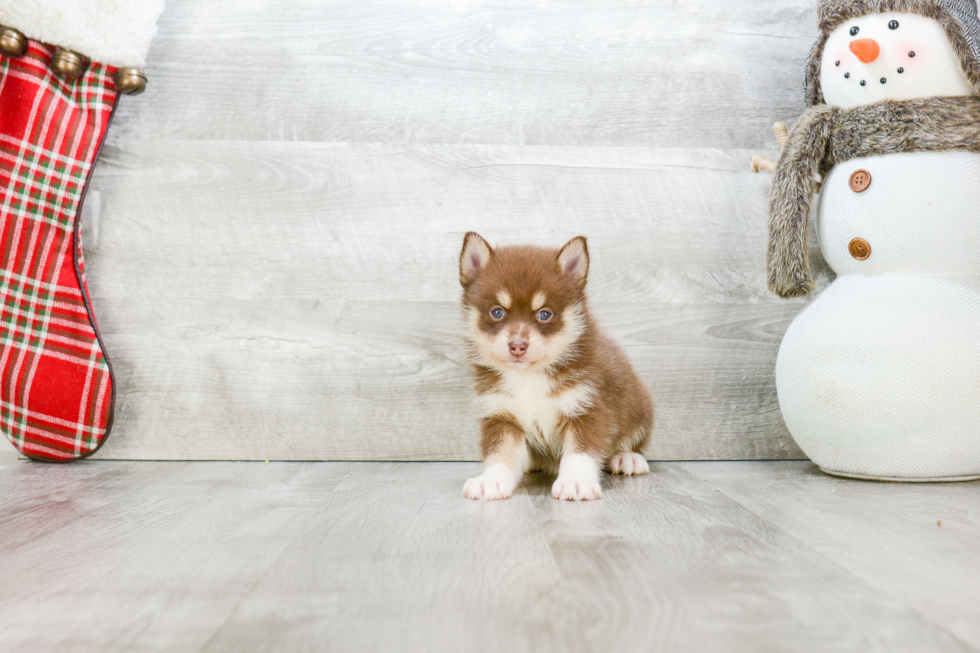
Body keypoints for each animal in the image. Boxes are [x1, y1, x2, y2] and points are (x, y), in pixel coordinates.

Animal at [458, 232, 652, 502]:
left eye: (544, 314)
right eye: (497, 312)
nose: (517, 346)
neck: (529, 377)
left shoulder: (587, 409)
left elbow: (581, 452)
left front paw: (576, 481)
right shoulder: (501, 416)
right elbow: (500, 454)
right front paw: (492, 479)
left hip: (638, 406)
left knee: (631, 440)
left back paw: (627, 458)